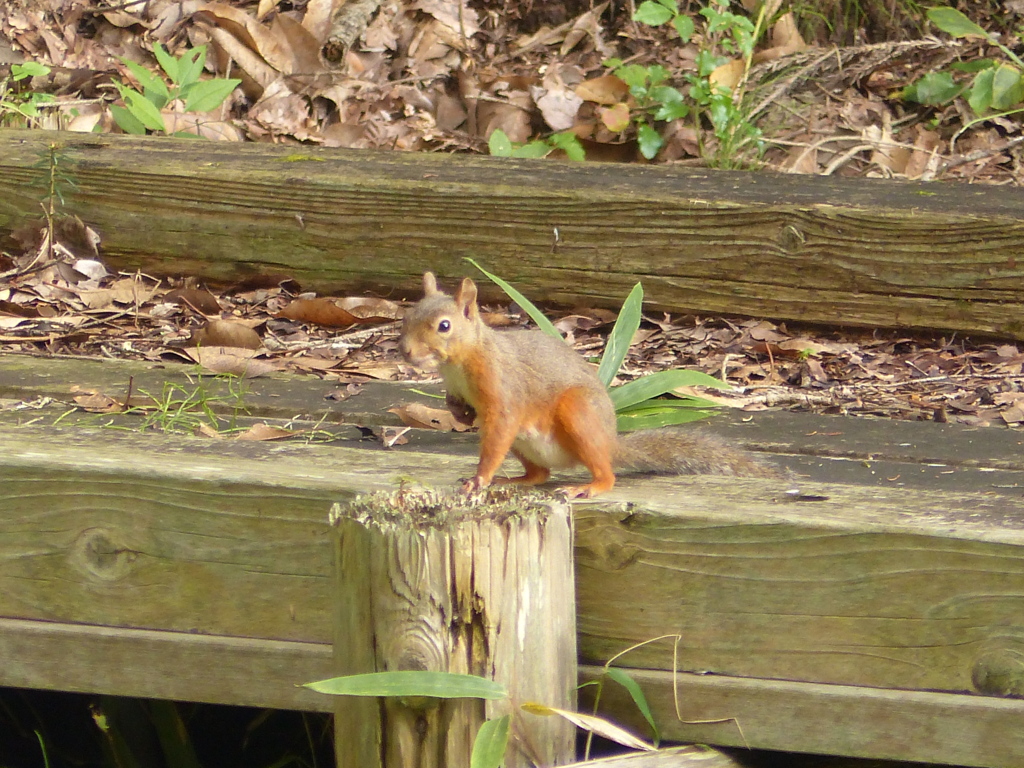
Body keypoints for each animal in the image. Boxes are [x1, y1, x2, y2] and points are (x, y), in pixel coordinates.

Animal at [399, 270, 774, 499]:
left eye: (444, 326)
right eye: (407, 317)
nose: (405, 351)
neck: (460, 362)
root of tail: (611, 441)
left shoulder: (503, 387)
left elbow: (499, 429)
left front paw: (480, 478)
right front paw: (459, 412)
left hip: (578, 413)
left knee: (605, 474)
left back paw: (588, 487)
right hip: (526, 445)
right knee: (540, 475)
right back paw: (515, 479)